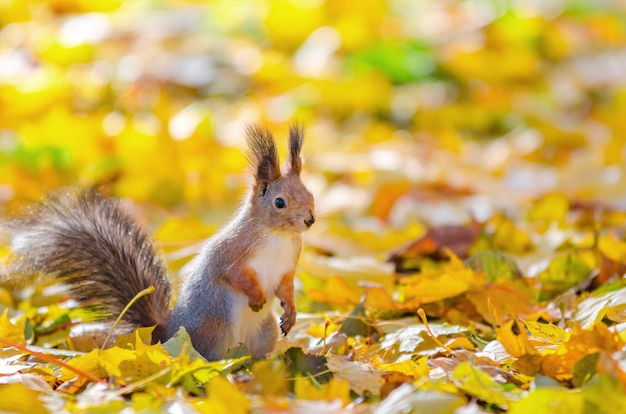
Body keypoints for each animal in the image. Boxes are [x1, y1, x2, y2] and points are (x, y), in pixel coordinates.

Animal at [0, 122, 312, 360]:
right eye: (280, 202)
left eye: (309, 194)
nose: (309, 220)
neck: (278, 236)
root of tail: (166, 334)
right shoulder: (231, 252)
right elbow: (234, 275)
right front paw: (257, 296)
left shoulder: (289, 265)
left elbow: (286, 287)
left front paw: (291, 311)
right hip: (215, 329)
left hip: (264, 333)